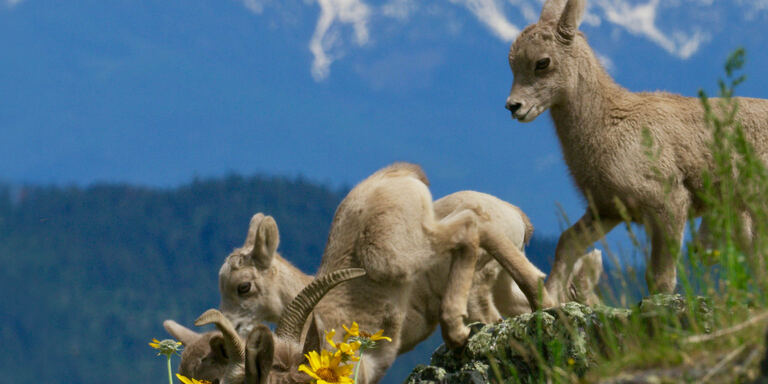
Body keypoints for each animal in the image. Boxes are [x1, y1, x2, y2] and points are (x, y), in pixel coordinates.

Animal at [508, 0, 768, 304]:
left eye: (542, 62)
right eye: (511, 63)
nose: (513, 106)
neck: (608, 125)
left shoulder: (669, 203)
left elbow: (661, 278)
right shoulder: (606, 209)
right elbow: (566, 244)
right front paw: (547, 301)